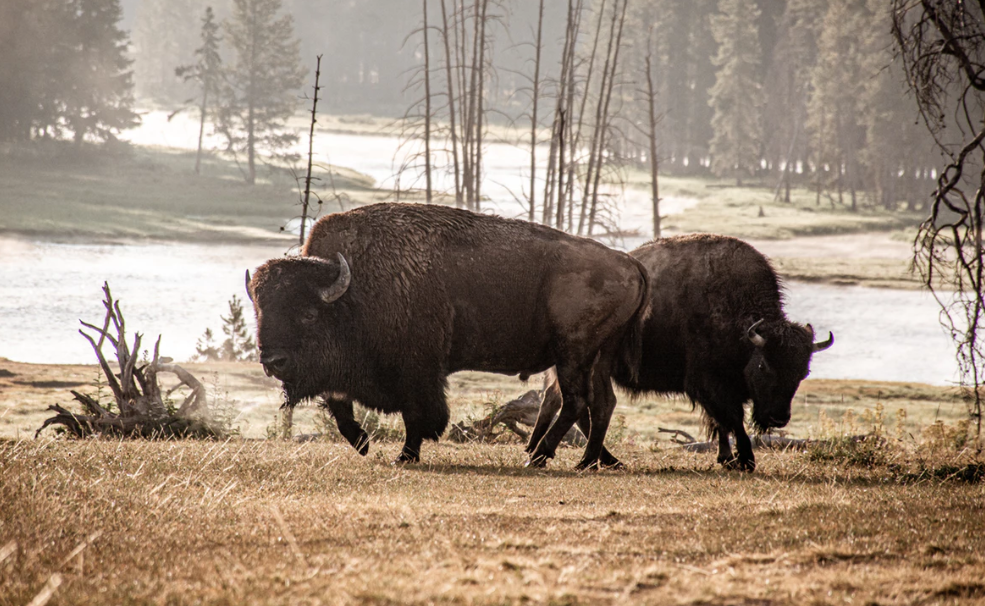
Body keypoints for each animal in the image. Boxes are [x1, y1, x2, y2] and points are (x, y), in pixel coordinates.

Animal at [245, 204, 648, 470]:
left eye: (308, 314)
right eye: (260, 312)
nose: (272, 361)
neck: (353, 290)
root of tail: (629, 262)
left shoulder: (418, 372)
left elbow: (417, 415)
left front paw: (405, 456)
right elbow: (338, 404)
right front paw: (362, 444)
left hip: (573, 353)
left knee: (576, 401)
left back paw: (540, 456)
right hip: (597, 356)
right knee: (600, 403)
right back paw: (590, 461)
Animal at [528, 235, 836, 472]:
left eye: (803, 372)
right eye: (764, 366)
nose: (778, 419)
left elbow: (720, 422)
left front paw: (726, 458)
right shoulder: (708, 383)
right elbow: (732, 419)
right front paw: (745, 460)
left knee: (561, 401)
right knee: (577, 404)